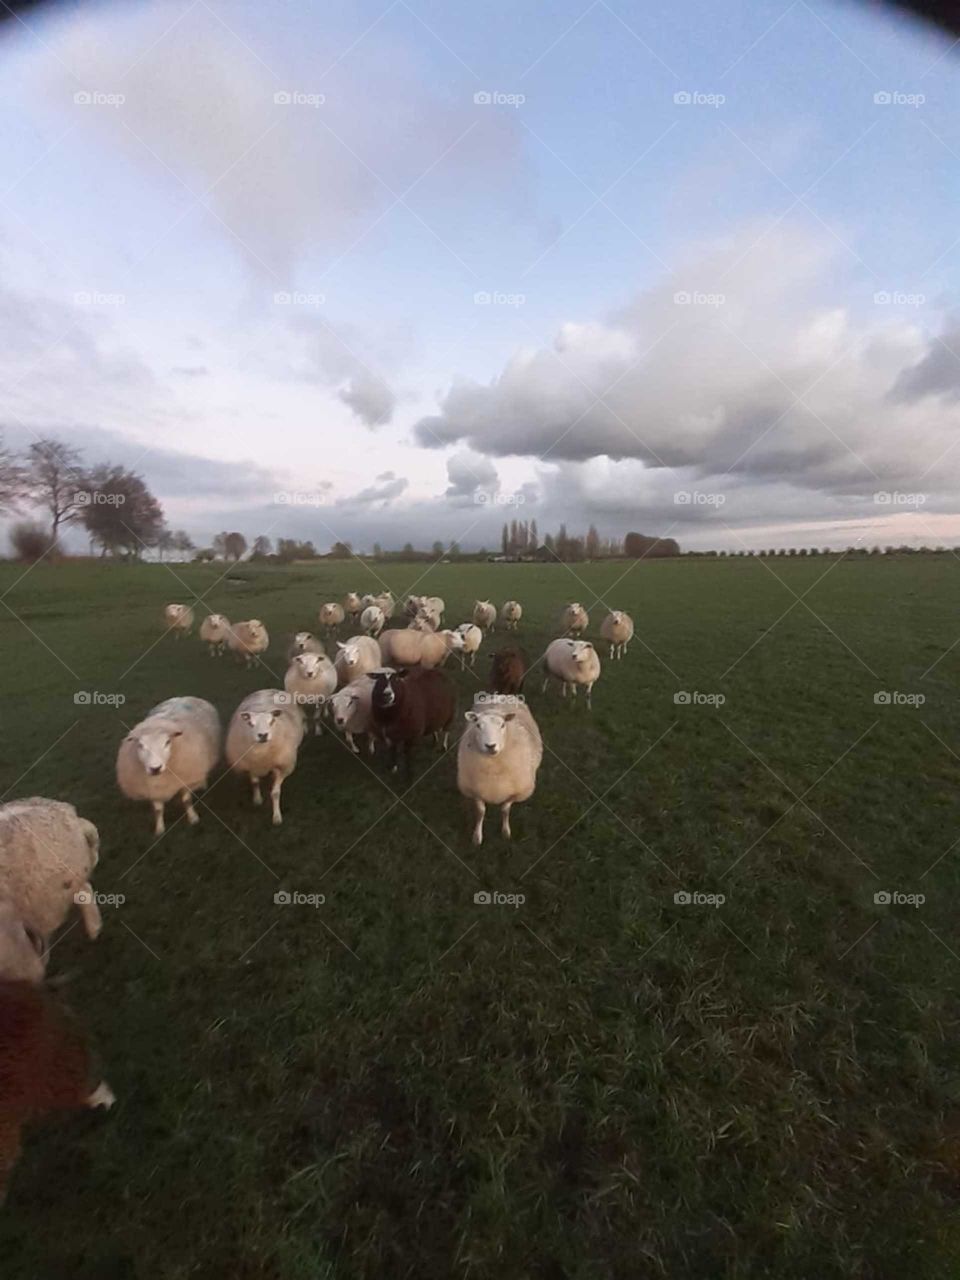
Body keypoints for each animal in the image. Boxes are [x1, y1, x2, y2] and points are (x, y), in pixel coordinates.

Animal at [116, 697, 221, 835]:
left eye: (167, 742)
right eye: (140, 745)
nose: (155, 768)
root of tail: (183, 697)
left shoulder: (185, 780)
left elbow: (187, 801)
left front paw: (193, 818)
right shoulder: (153, 789)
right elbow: (158, 810)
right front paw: (160, 828)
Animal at [225, 690, 305, 825]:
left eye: (272, 721)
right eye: (250, 723)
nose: (263, 735)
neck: (262, 755)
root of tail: (268, 689)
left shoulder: (284, 767)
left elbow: (275, 793)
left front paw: (277, 816)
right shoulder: (250, 765)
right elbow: (255, 782)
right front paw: (257, 799)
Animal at [457, 697, 543, 845]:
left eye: (502, 725)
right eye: (478, 725)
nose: (490, 746)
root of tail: (501, 695)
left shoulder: (513, 792)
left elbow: (505, 810)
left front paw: (505, 832)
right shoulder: (476, 790)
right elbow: (480, 812)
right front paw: (477, 837)